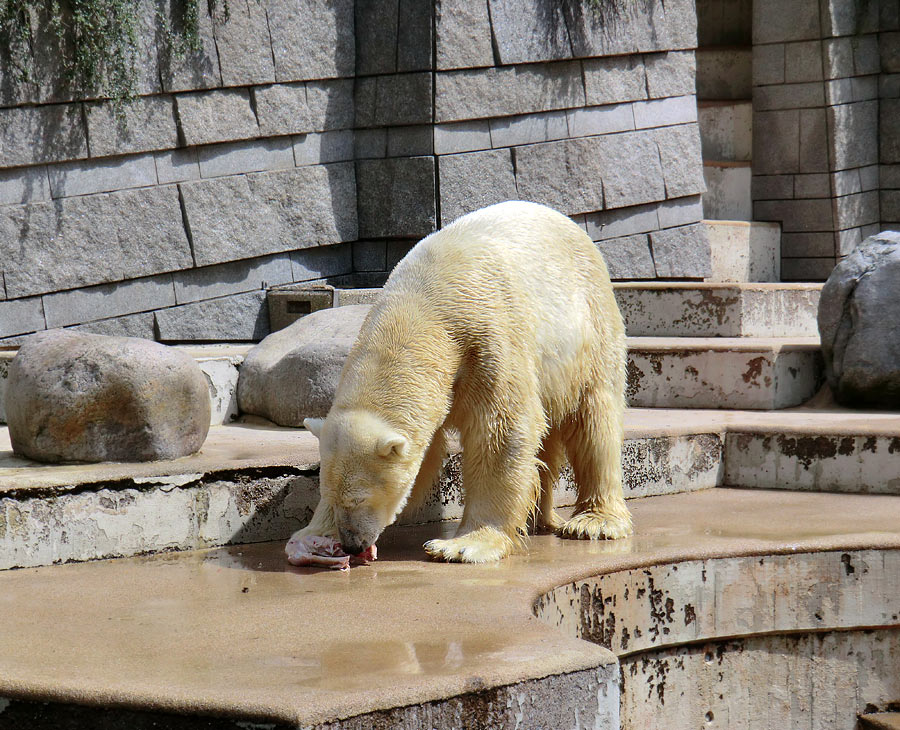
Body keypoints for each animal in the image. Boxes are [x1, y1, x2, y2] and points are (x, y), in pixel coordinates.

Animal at [292, 200, 628, 564]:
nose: (353, 543)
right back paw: (537, 517)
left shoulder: (486, 340)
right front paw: (311, 536)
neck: (421, 303)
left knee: (595, 420)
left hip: (591, 328)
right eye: (329, 494)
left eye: (359, 498)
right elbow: (426, 454)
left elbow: (501, 431)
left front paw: (462, 545)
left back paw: (593, 522)